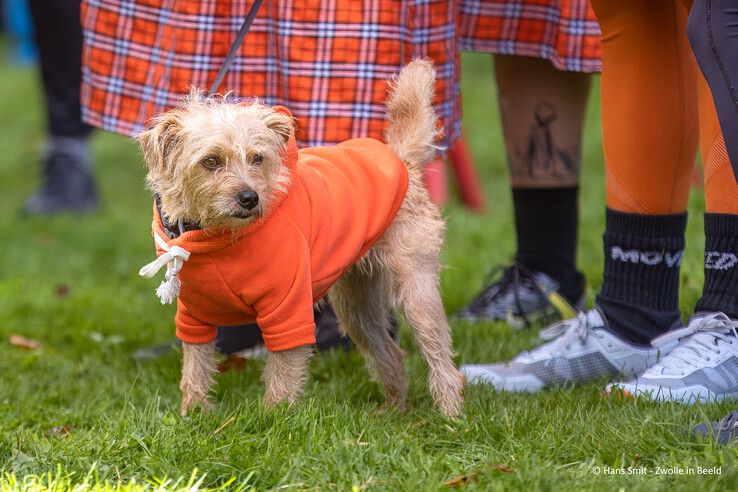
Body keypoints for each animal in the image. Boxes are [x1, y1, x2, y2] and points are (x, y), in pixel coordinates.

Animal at [136, 59, 462, 418]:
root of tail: (401, 161)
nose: (249, 198)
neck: (216, 237)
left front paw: (272, 419)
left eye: (258, 158)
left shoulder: (288, 309)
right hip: (357, 306)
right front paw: (193, 414)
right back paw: (394, 410)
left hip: (417, 290)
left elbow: (282, 375)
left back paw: (450, 414)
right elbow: (194, 368)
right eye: (210, 161)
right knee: (390, 352)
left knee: (441, 358)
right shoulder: (194, 316)